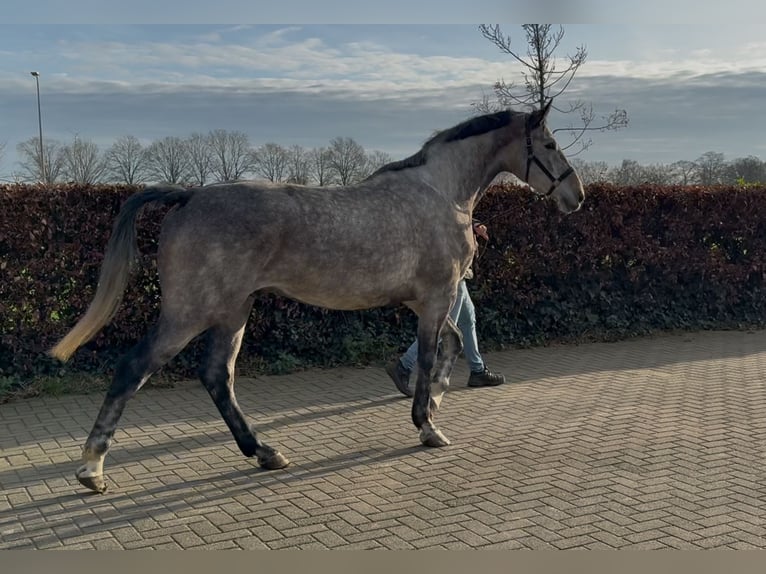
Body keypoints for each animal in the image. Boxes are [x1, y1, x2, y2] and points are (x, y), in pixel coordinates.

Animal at [50, 101, 585, 493]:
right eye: (550, 144)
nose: (576, 195)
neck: (440, 193)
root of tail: (188, 195)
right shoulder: (437, 297)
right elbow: (434, 354)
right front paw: (427, 425)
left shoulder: (424, 301)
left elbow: (449, 347)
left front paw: (433, 402)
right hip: (189, 312)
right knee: (134, 368)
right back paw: (92, 469)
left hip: (233, 311)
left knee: (217, 376)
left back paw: (265, 453)